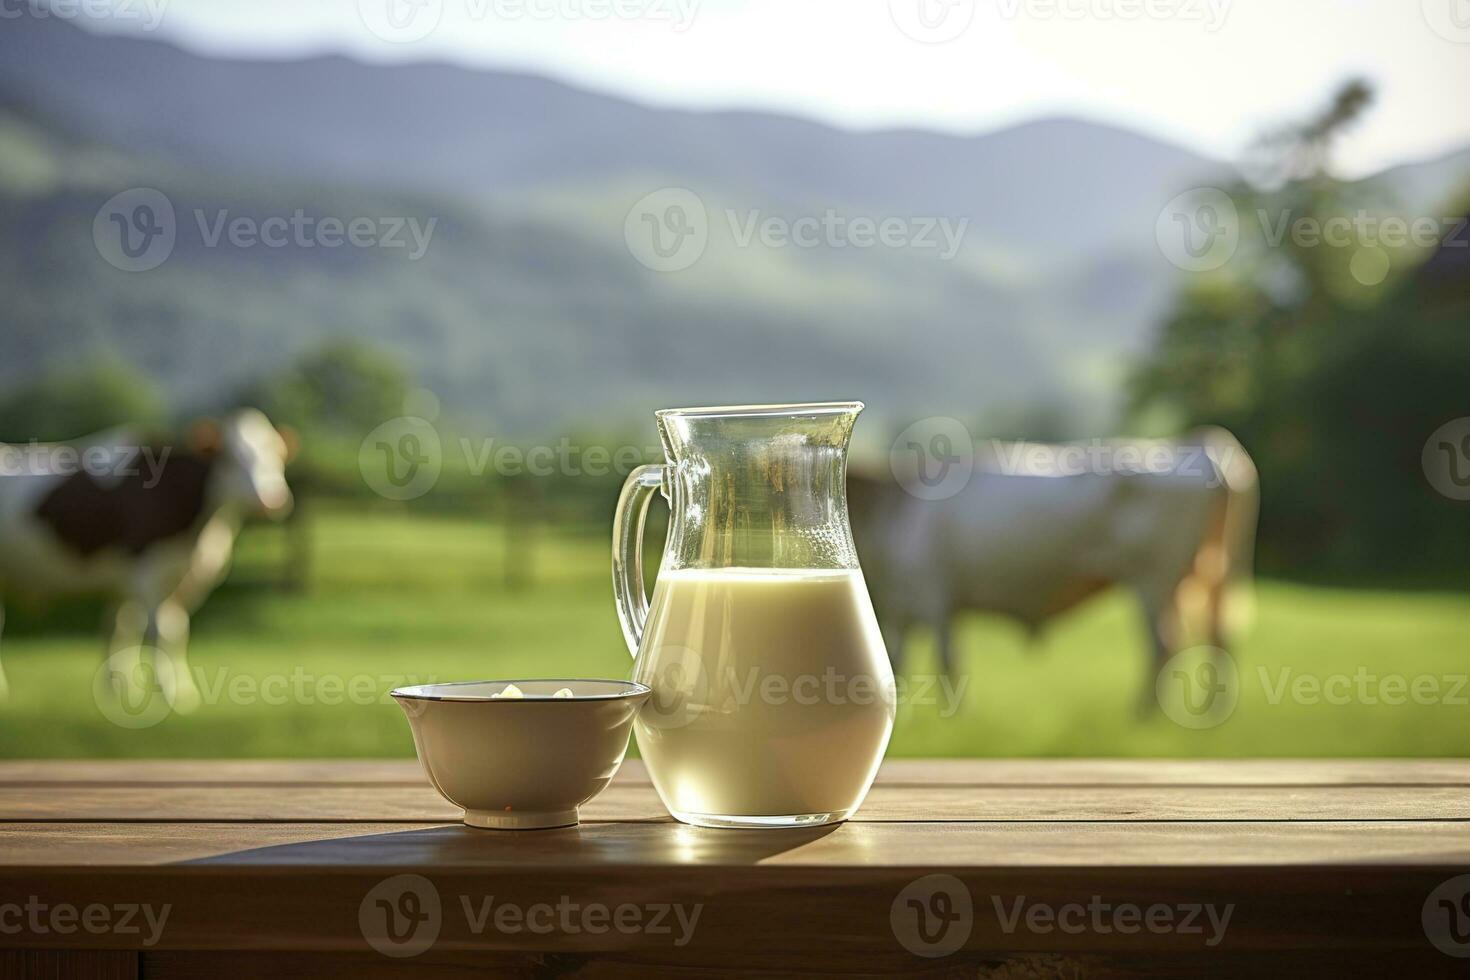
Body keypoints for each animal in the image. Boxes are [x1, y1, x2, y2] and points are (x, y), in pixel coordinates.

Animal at [0, 411, 295, 708]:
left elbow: (149, 627)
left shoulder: (171, 577)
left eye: (277, 453)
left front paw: (126, 687)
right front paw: (167, 691)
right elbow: (157, 630)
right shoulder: (146, 573)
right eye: (231, 457)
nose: (271, 500)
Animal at [858, 429, 1258, 714]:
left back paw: (1142, 716)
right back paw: (1209, 711)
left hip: (1154, 579)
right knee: (1216, 634)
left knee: (1164, 643)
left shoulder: (933, 594)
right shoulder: (901, 608)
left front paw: (955, 718)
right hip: (1202, 576)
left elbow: (946, 661)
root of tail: (1199, 443)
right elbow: (896, 663)